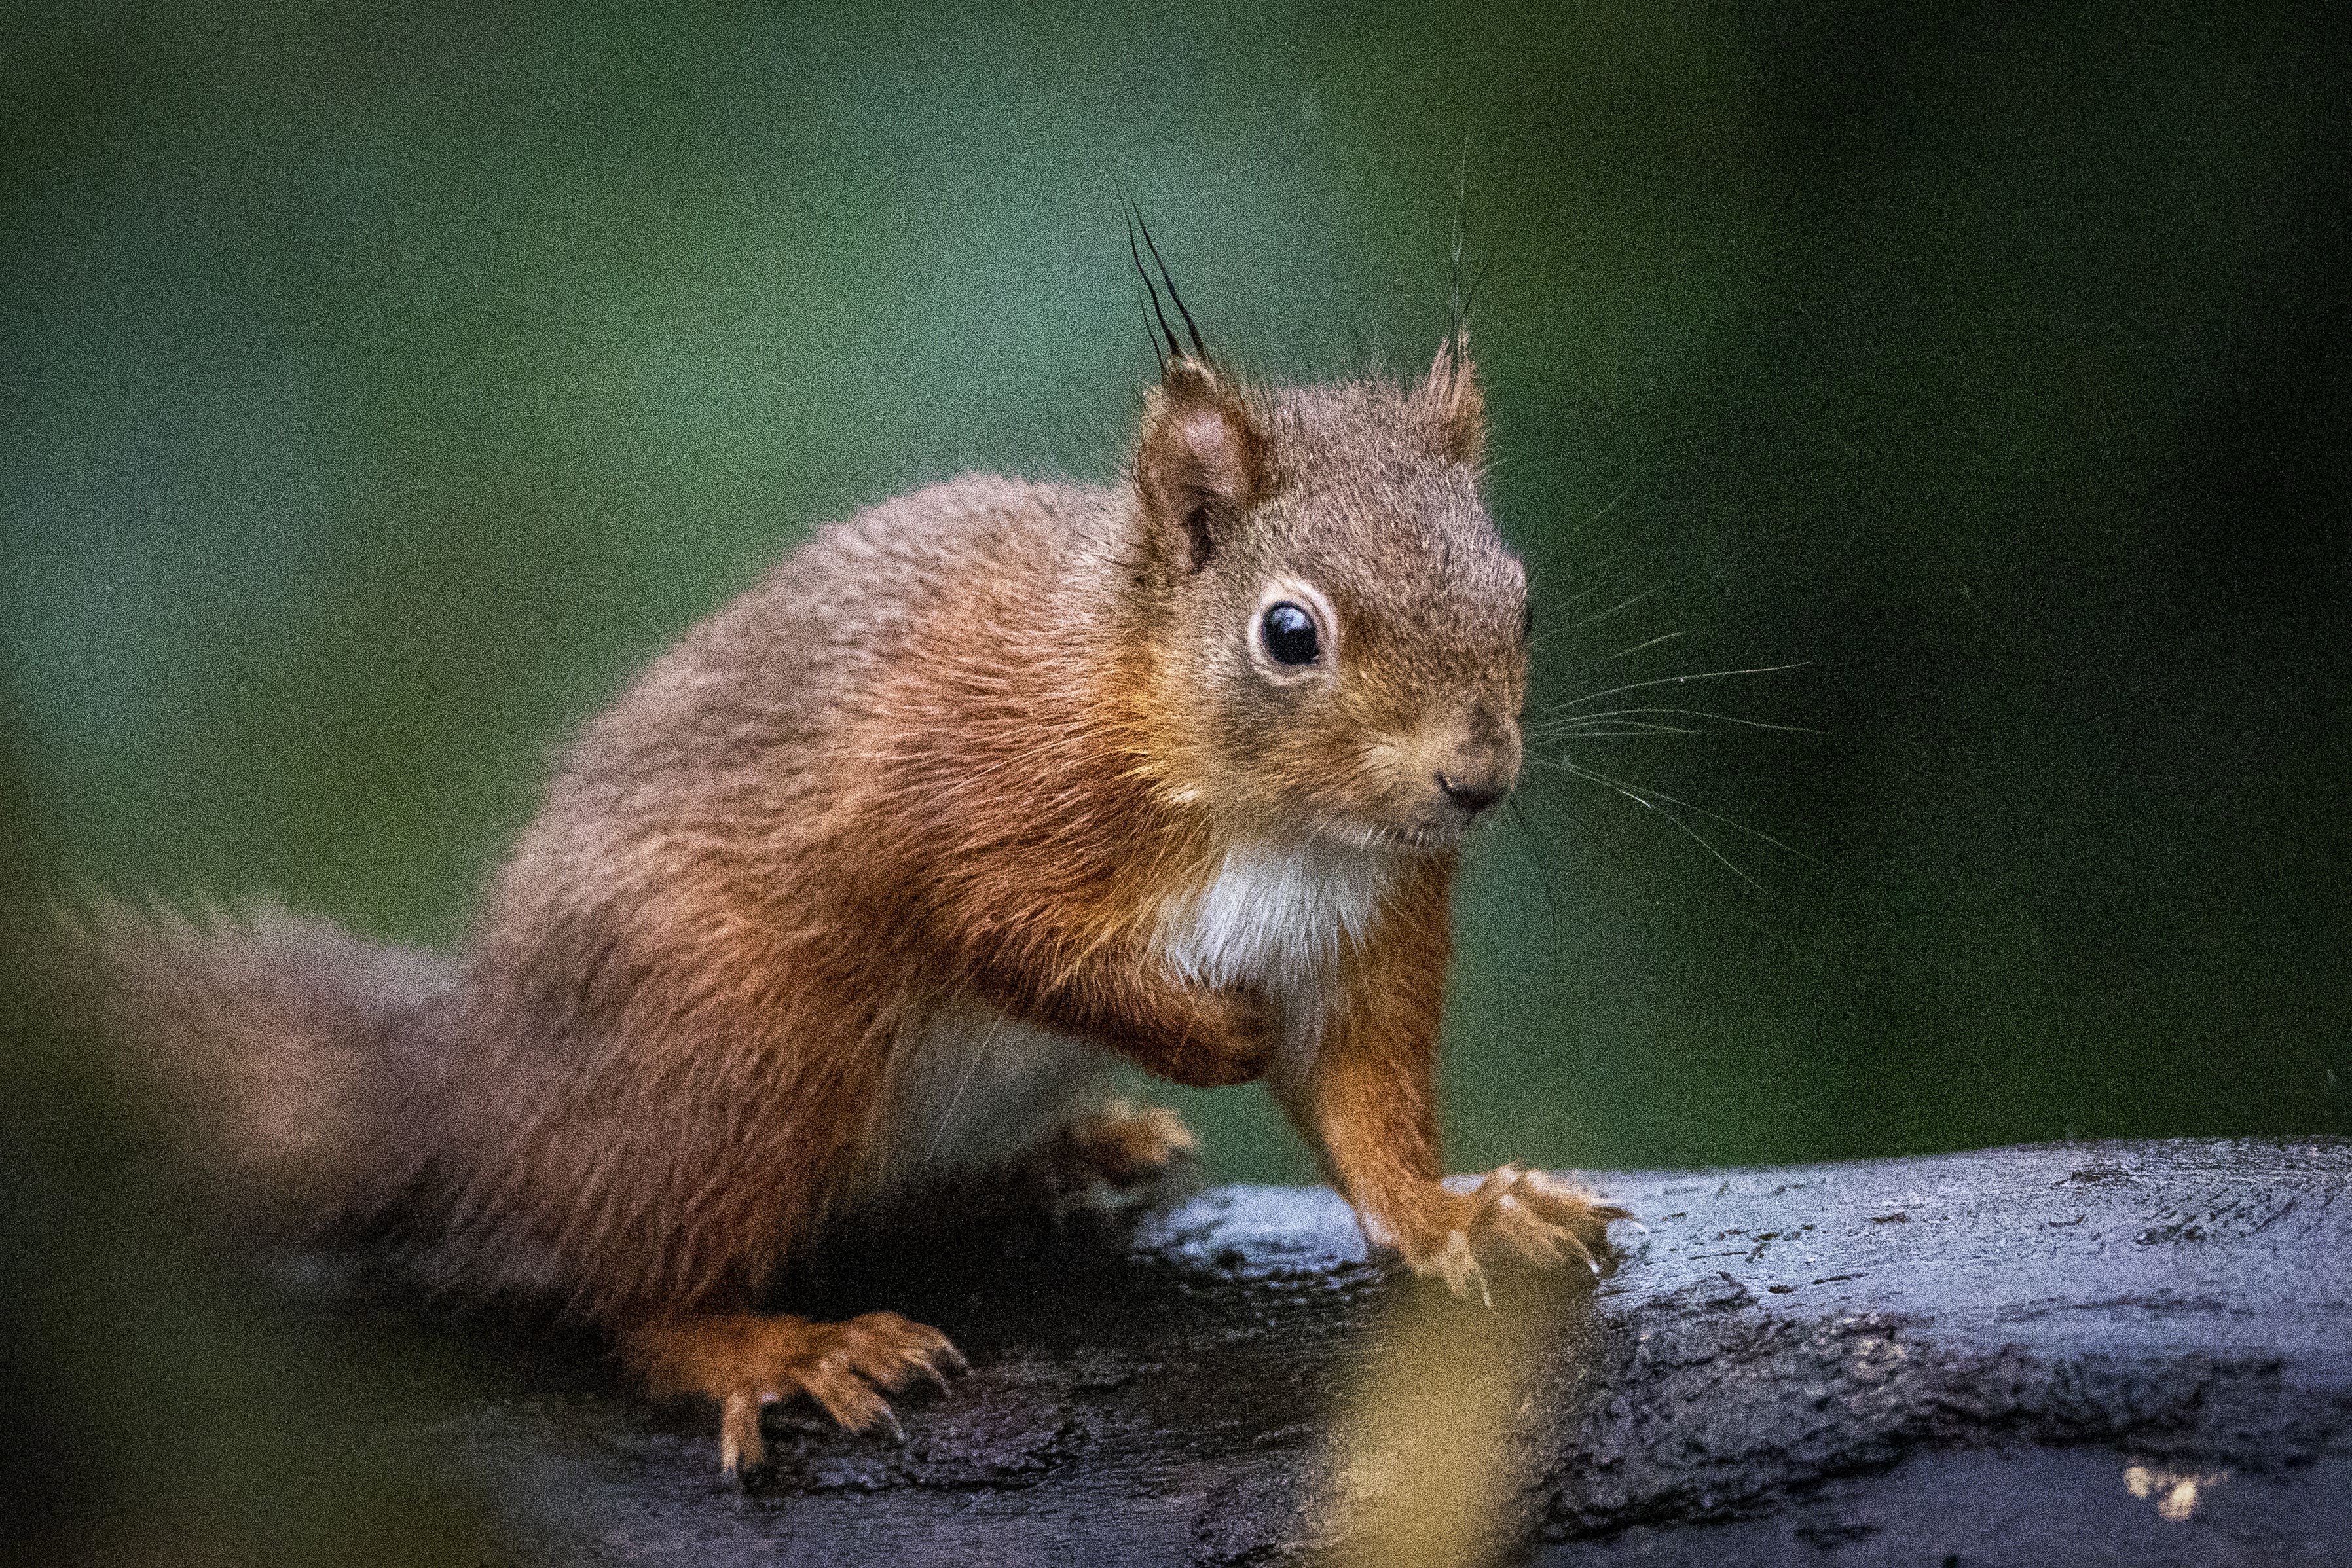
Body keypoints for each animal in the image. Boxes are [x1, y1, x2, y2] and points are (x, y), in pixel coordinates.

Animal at [60, 240, 1637, 1476]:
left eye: (1521, 599)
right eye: (1289, 633)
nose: (1475, 780)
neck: (1272, 820)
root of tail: (481, 1095)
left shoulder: (1371, 929)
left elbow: (1365, 1108)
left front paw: (1460, 1213)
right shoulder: (943, 792)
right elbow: (987, 926)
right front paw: (1198, 1034)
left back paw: (1061, 1157)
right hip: (744, 1045)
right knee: (622, 1287)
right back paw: (767, 1347)